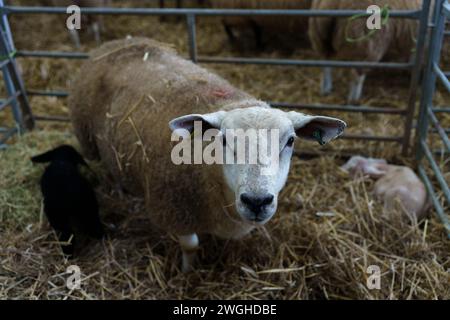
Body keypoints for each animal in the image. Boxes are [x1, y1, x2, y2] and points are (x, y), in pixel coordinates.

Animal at [68, 37, 346, 272]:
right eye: (223, 139)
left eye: (290, 141)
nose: (256, 201)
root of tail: (118, 43)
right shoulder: (174, 208)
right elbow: (190, 245)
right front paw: (187, 272)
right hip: (89, 141)